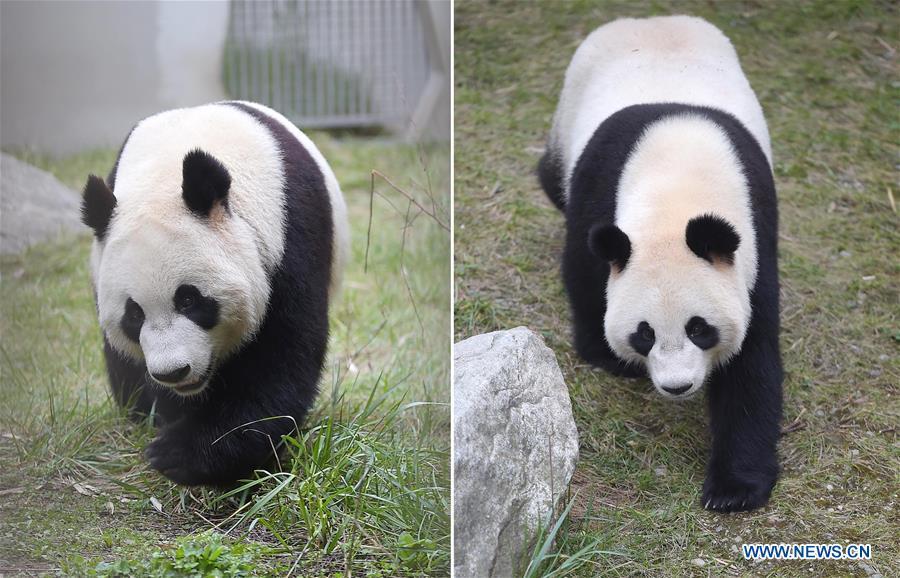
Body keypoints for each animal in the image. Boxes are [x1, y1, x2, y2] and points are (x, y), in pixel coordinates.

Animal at [81, 101, 350, 486]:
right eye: (134, 314)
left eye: (189, 300)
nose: (172, 372)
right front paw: (170, 423)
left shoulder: (287, 238)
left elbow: (279, 360)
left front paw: (182, 453)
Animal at [538, 16, 782, 512]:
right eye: (645, 333)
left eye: (700, 328)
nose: (677, 387)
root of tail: (649, 19)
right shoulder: (598, 194)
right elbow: (585, 272)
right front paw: (605, 354)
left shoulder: (755, 239)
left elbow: (753, 359)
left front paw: (733, 489)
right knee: (552, 181)